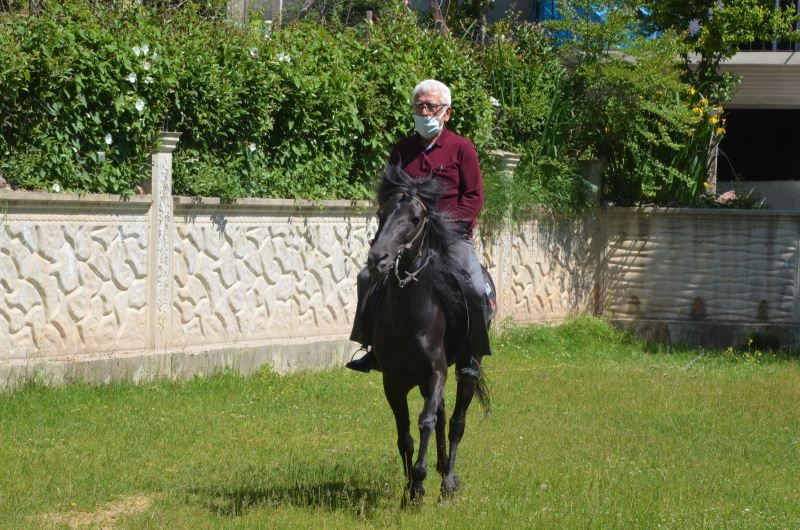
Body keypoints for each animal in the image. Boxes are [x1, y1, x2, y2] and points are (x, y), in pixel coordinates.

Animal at [366, 166, 490, 504]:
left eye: (414, 219)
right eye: (381, 213)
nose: (378, 259)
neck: (409, 318)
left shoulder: (436, 373)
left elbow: (426, 422)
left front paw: (419, 482)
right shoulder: (393, 381)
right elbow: (405, 433)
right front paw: (410, 488)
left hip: (467, 368)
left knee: (456, 422)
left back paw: (447, 481)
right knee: (443, 414)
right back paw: (442, 466)